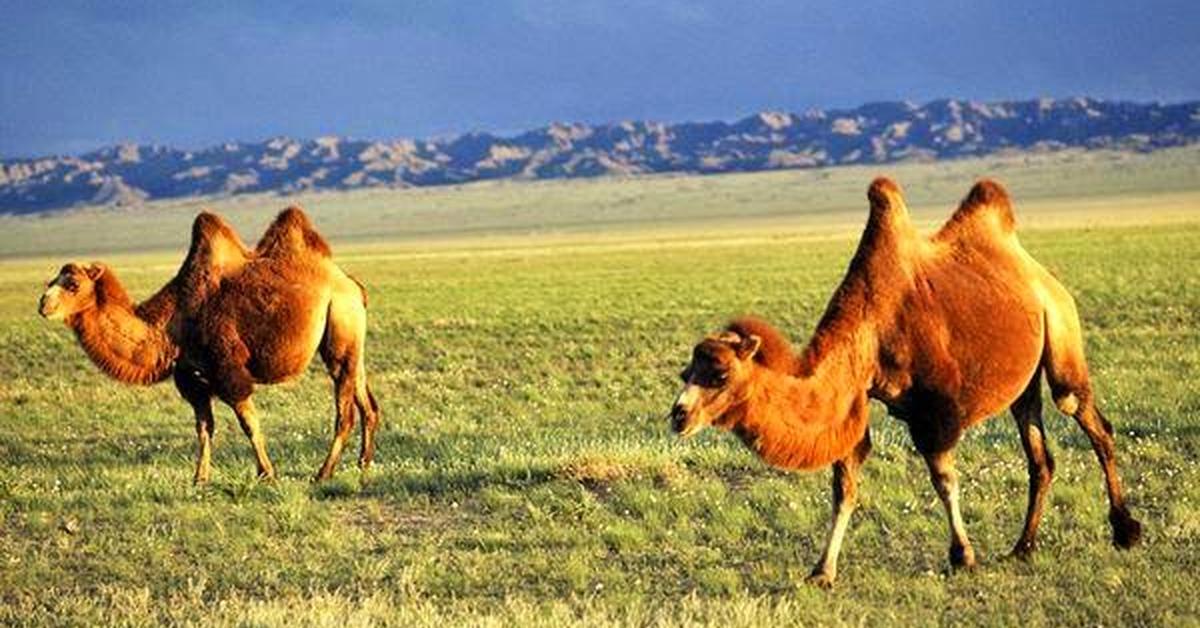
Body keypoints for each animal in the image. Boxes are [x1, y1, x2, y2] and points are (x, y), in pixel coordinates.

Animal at [39, 208, 379, 485]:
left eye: (73, 284)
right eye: (49, 281)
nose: (43, 304)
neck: (172, 326)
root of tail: (352, 284)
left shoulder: (228, 370)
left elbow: (249, 424)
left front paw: (266, 473)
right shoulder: (192, 379)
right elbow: (204, 429)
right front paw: (199, 479)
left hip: (340, 323)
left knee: (344, 411)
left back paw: (323, 473)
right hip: (351, 340)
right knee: (368, 403)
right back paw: (362, 465)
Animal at [676, 178, 1142, 588]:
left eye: (720, 374)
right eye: (684, 373)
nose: (678, 414)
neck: (870, 331)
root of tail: (1039, 273)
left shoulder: (935, 413)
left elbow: (945, 480)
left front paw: (962, 555)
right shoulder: (857, 400)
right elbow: (844, 487)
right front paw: (822, 572)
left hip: (1061, 331)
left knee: (1087, 416)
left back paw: (1125, 531)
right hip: (1024, 378)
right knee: (1040, 456)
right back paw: (1023, 547)